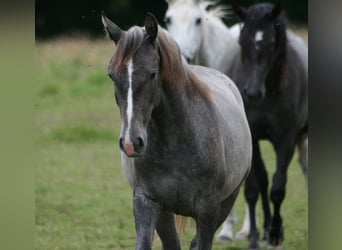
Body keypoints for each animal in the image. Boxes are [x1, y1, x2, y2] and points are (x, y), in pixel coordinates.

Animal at [101, 12, 251, 250]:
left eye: (152, 74)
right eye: (111, 75)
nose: (131, 142)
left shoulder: (208, 209)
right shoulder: (147, 201)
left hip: (227, 201)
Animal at [230, 2, 310, 250]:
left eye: (271, 43)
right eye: (242, 42)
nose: (252, 93)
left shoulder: (286, 140)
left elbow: (278, 188)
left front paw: (275, 235)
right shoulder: (253, 137)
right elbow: (254, 188)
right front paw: (256, 238)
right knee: (263, 179)